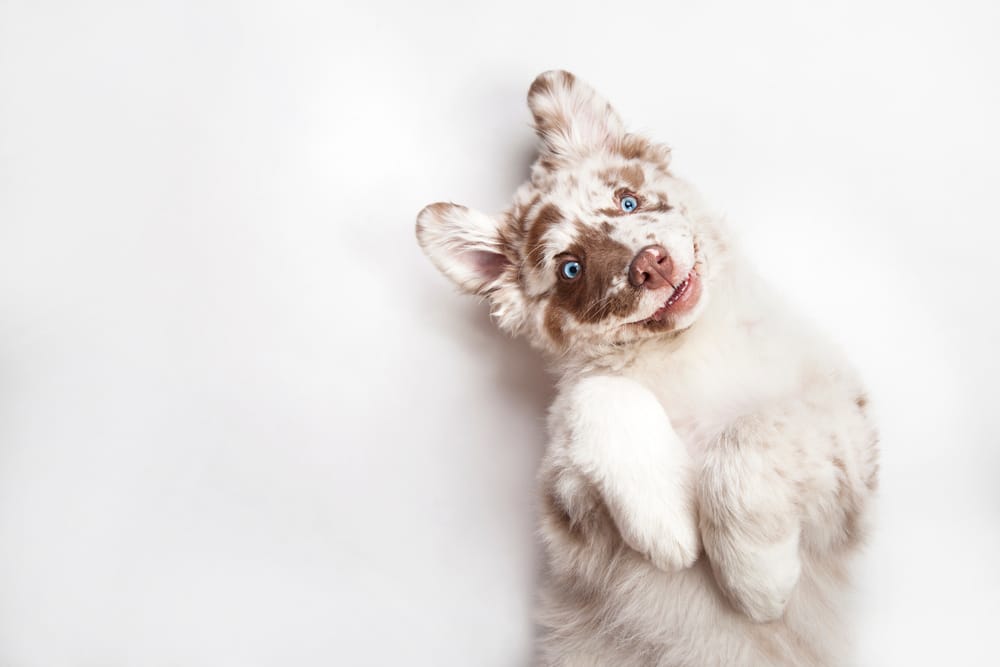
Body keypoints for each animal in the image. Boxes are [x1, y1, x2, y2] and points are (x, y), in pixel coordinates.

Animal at [414, 70, 876, 664]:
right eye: (570, 268)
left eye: (628, 201)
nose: (650, 264)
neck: (685, 347)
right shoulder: (569, 516)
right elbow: (597, 393)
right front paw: (668, 523)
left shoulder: (848, 441)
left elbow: (745, 435)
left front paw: (756, 580)